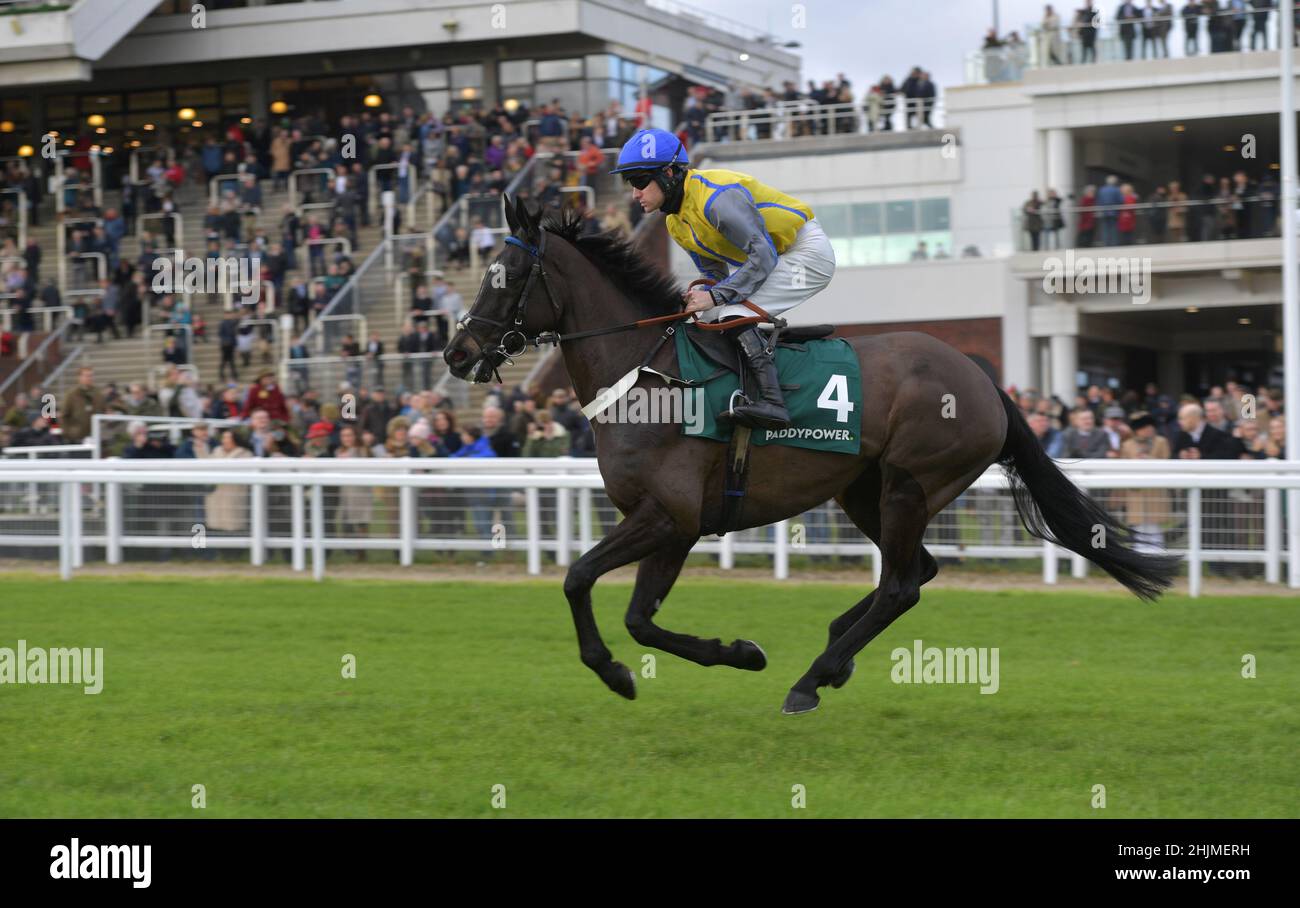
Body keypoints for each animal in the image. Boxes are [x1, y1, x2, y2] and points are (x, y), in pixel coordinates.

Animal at [441, 197, 1185, 712]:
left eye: (505, 275)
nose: (456, 351)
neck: (648, 374)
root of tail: (986, 383)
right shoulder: (675, 526)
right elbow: (640, 617)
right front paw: (735, 653)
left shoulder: (668, 516)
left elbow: (578, 580)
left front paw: (618, 671)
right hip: (863, 489)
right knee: (918, 572)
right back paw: (834, 651)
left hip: (912, 483)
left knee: (902, 584)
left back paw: (812, 678)